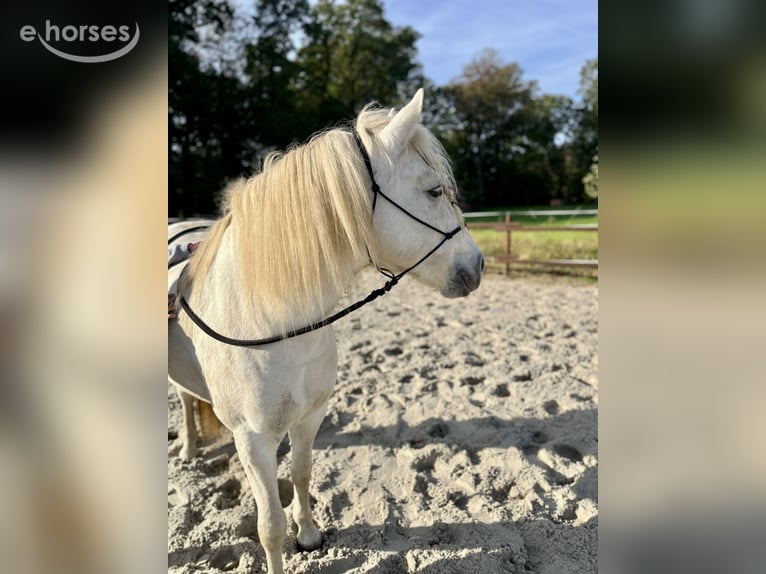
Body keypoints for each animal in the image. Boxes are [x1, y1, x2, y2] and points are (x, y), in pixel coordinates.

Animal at [168, 89, 484, 574]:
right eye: (434, 191)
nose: (479, 265)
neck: (277, 327)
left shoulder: (311, 415)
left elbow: (302, 473)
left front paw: (310, 534)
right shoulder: (252, 440)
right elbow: (269, 526)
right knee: (185, 401)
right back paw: (186, 449)